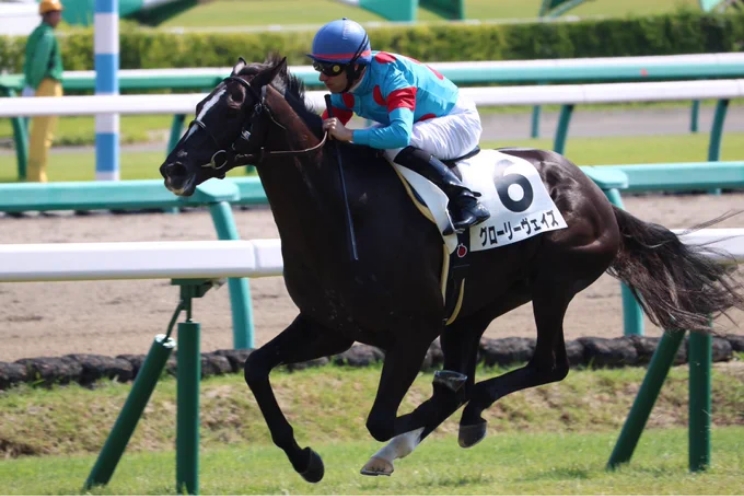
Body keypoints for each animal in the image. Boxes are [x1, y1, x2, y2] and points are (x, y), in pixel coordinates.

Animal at [159, 55, 744, 482]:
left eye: (232, 107)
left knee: (547, 364)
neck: (342, 211)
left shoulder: (411, 332)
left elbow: (381, 416)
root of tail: (596, 194)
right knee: (485, 365)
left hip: (554, 283)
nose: (173, 167)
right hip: (474, 308)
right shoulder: (329, 326)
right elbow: (256, 368)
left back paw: (455, 413)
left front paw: (419, 416)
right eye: (198, 104)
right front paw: (306, 459)